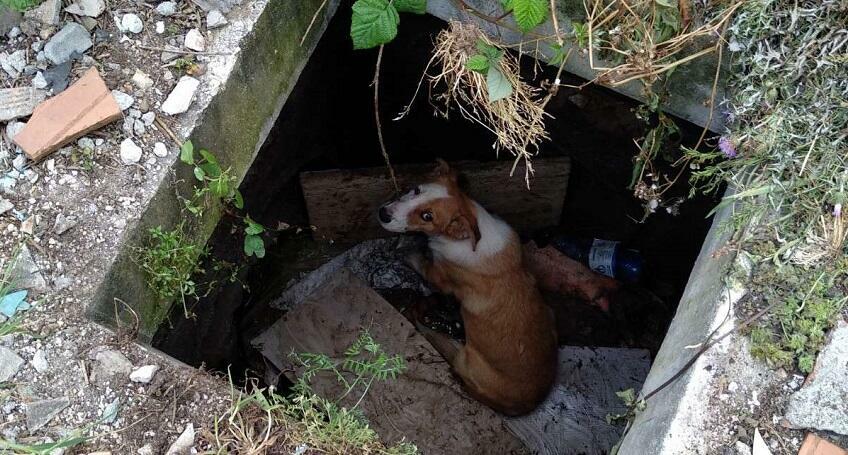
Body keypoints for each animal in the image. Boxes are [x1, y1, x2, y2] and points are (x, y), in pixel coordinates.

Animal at [380, 160, 556, 416]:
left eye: (427, 216)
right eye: (415, 190)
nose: (383, 214)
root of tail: (527, 405)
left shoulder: (438, 275)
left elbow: (419, 261)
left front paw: (406, 250)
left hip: (467, 361)